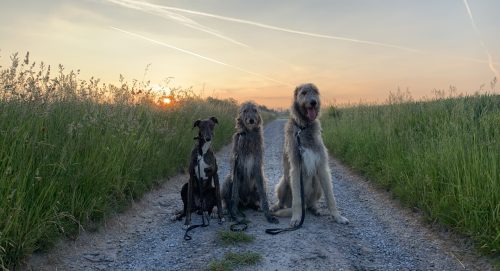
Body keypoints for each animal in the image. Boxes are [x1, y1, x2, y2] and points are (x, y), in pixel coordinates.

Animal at [272, 83, 350, 227]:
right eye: (304, 92)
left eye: (316, 92)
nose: (314, 102)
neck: (304, 128)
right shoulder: (295, 168)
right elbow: (297, 200)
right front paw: (296, 218)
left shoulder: (322, 166)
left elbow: (331, 197)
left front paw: (337, 217)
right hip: (283, 182)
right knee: (283, 202)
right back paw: (275, 207)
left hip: (317, 183)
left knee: (311, 203)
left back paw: (315, 208)